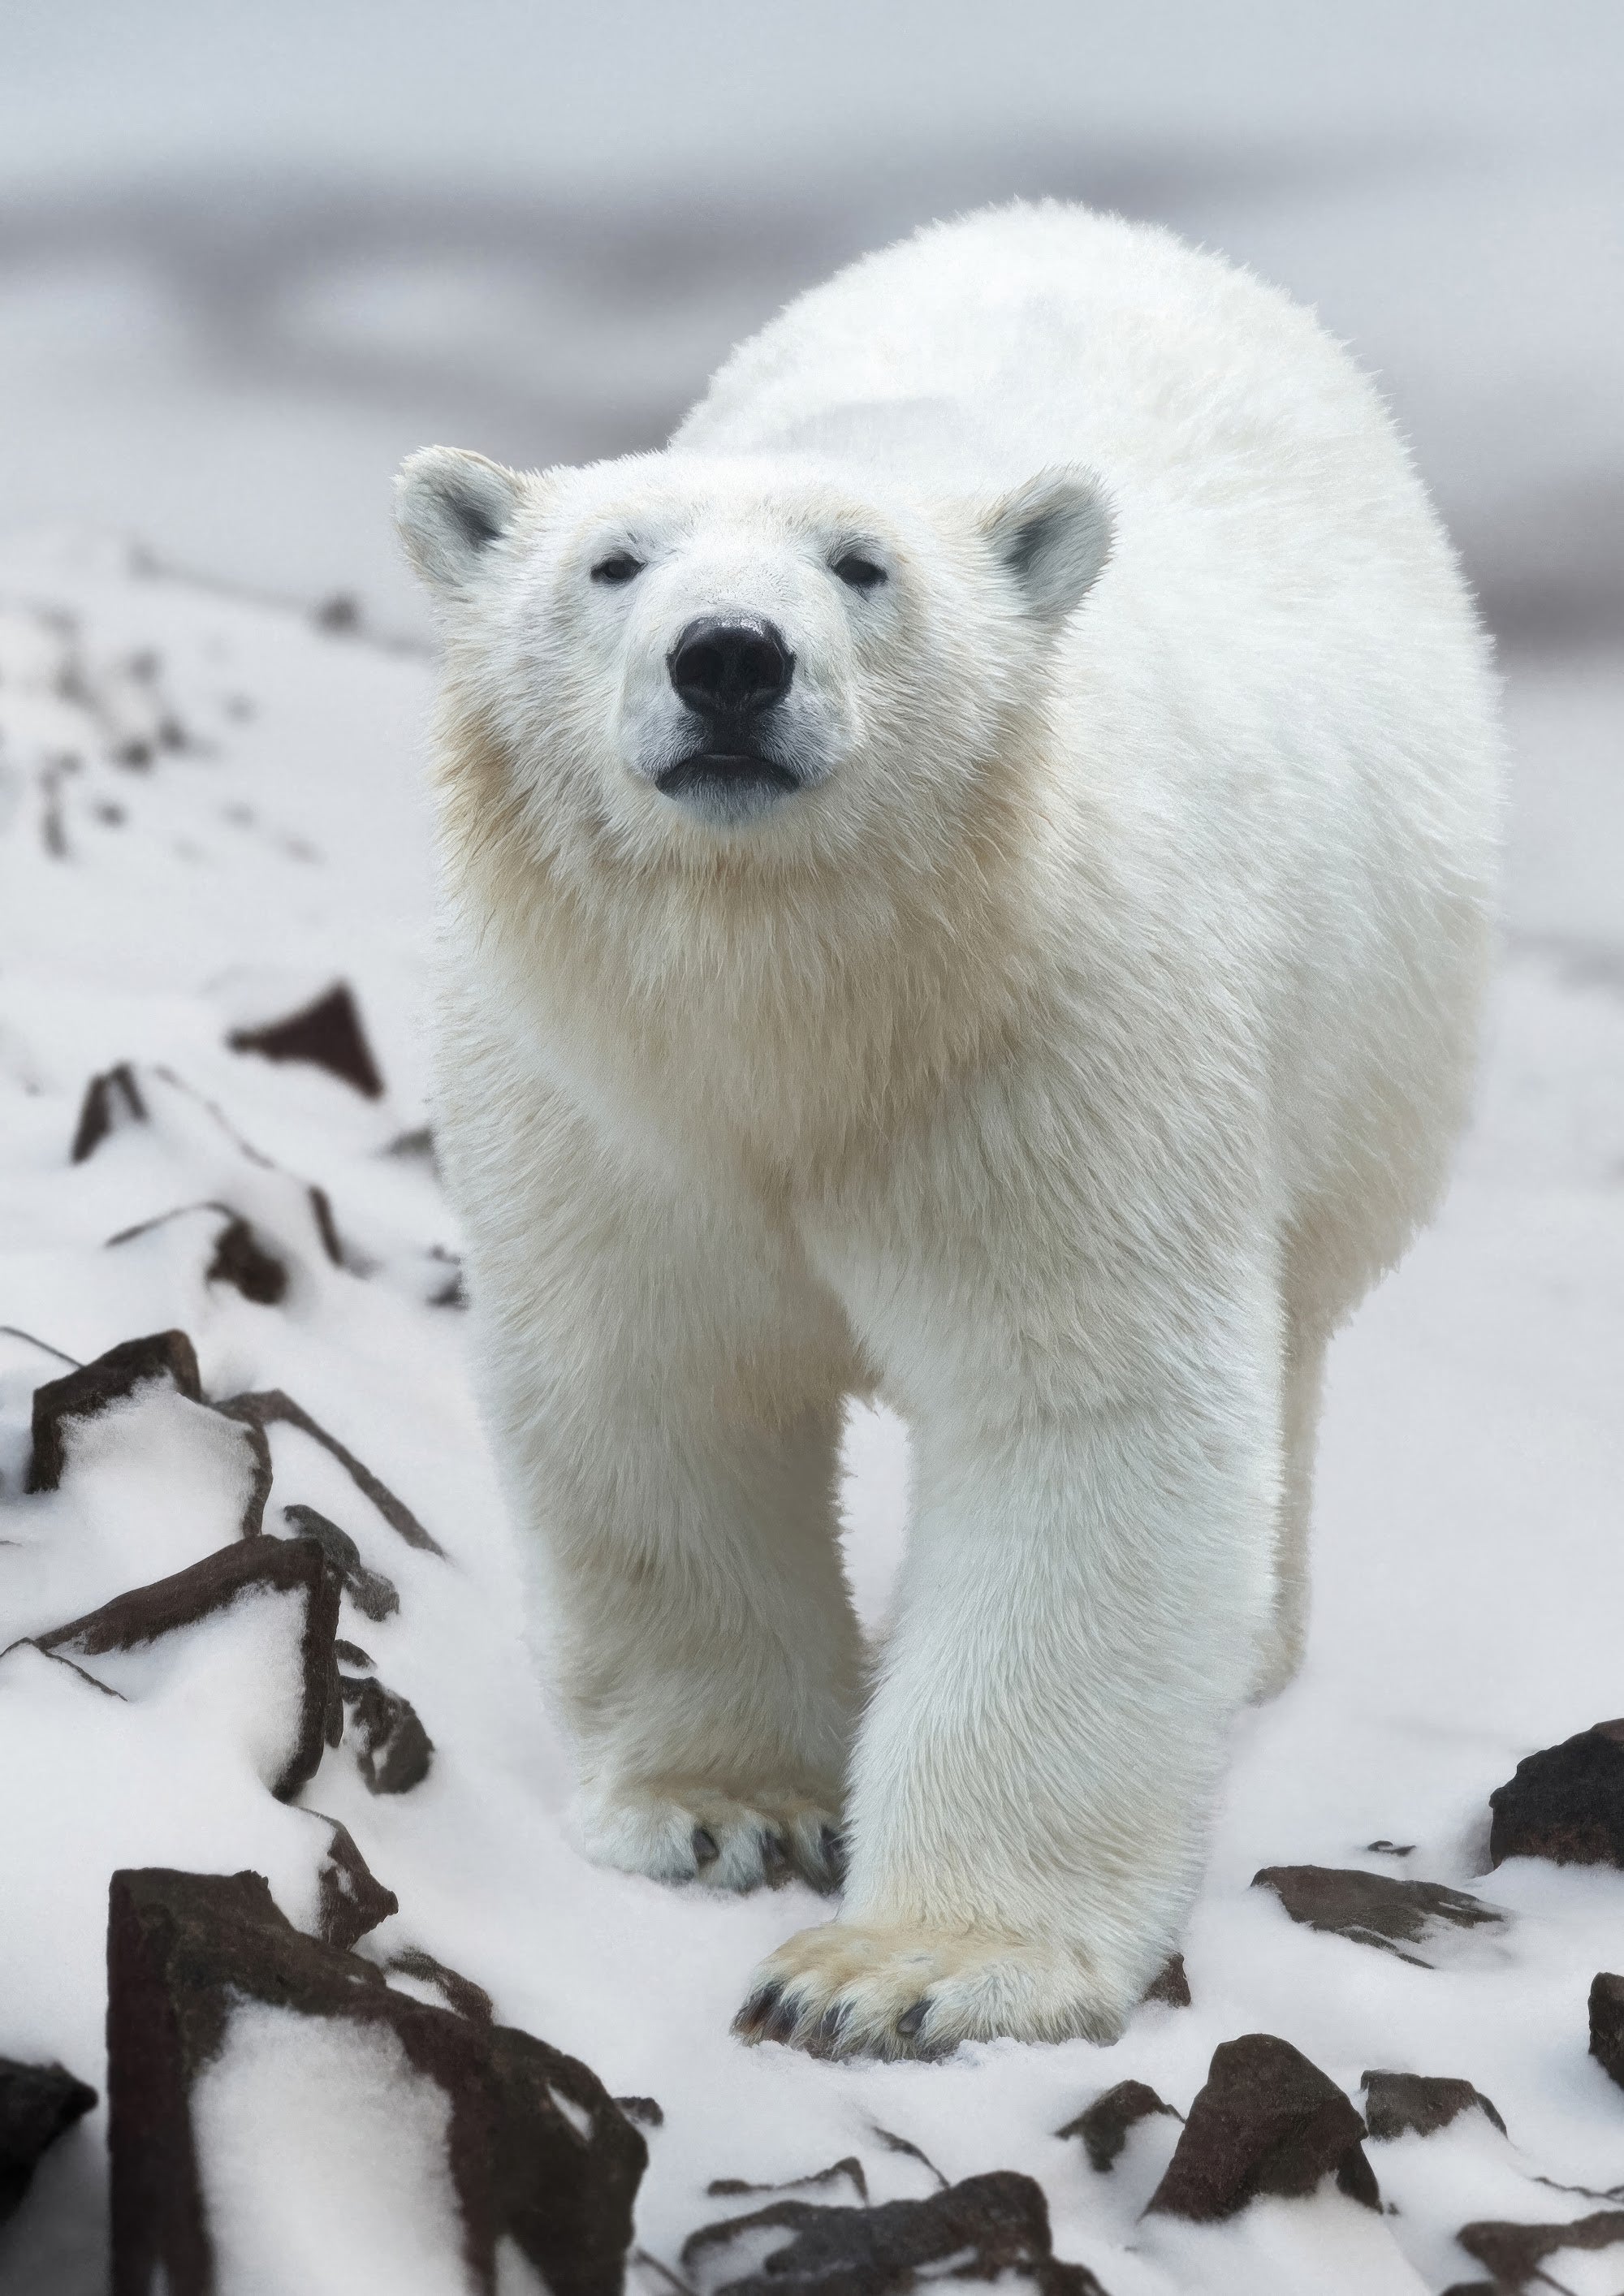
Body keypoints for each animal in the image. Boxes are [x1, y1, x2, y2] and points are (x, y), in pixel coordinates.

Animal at [395, 201, 1501, 2059]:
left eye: (862, 566)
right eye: (614, 562)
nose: (729, 656)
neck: (813, 1009)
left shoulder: (1052, 1051)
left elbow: (1088, 1419)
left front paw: (903, 1966)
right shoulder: (602, 1103)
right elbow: (655, 1381)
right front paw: (727, 1806)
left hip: (1369, 1051)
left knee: (1290, 1327)